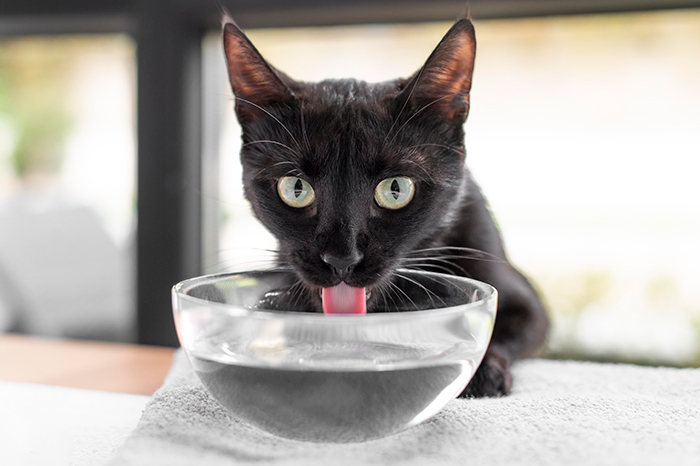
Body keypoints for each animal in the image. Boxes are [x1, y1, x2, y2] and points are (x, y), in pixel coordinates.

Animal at [221, 18, 548, 396]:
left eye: (396, 189)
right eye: (296, 188)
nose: (341, 259)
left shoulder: (526, 302)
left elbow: (496, 328)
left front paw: (483, 371)